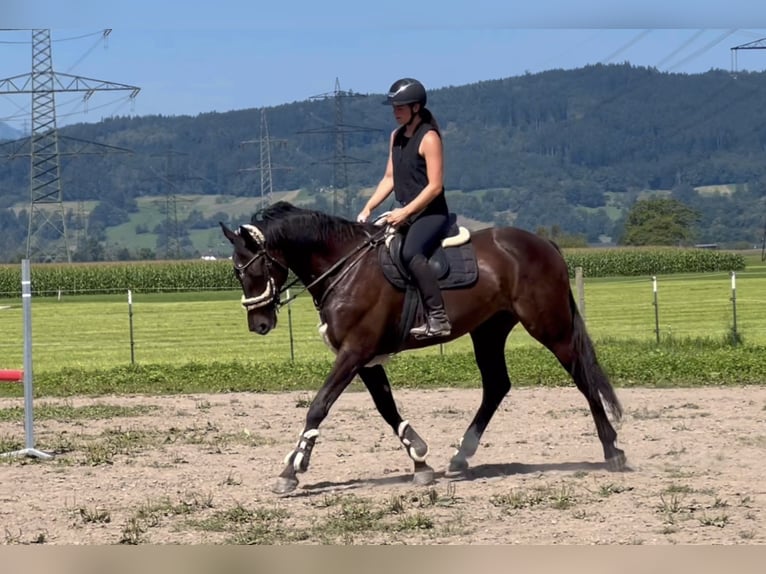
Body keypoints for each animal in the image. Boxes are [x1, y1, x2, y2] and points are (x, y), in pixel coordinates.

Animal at [219, 201, 628, 496]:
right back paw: (461, 456)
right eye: (236, 271)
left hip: (550, 327)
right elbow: (387, 409)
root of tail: (544, 244)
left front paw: (292, 469)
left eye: (251, 268)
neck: (346, 268)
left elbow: (318, 406)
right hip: (489, 332)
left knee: (582, 378)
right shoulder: (366, 359)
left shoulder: (354, 352)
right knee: (497, 384)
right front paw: (420, 460)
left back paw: (612, 451)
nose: (258, 324)